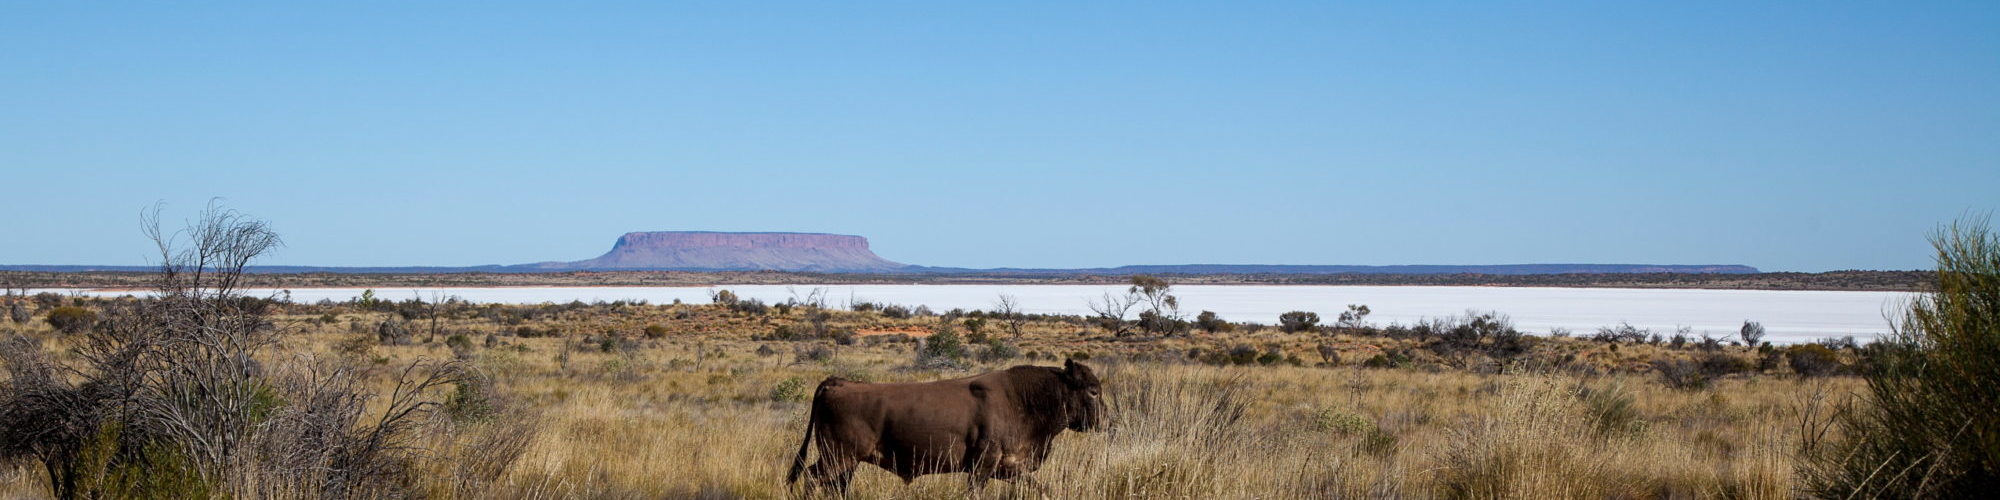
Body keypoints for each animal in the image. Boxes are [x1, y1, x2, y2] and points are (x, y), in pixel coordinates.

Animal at [785, 359, 1106, 496]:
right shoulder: (981, 467)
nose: (1104, 420)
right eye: (1093, 391)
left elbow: (1039, 486)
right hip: (837, 458)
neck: (1021, 398)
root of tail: (837, 383)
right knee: (812, 479)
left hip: (847, 462)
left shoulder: (1007, 468)